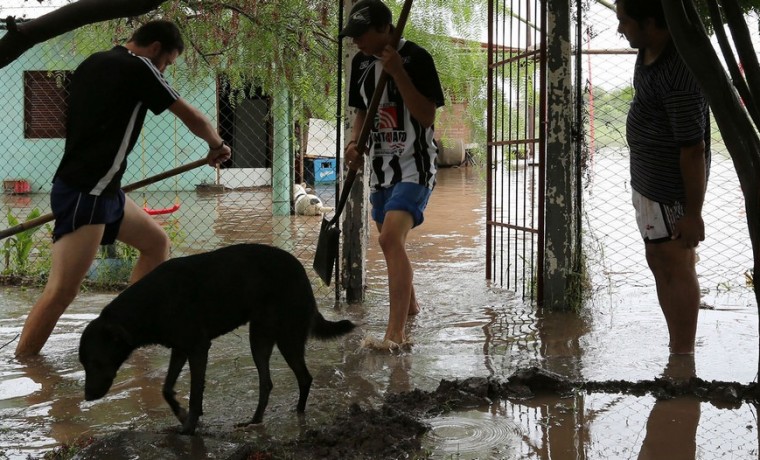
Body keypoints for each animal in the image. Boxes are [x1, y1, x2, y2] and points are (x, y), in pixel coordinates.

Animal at [78, 244, 358, 434]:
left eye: (95, 362)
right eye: (83, 364)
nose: (88, 397)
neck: (150, 304)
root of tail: (303, 276)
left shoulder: (198, 348)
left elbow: (195, 392)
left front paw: (189, 427)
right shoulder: (180, 348)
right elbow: (166, 388)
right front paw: (181, 415)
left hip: (286, 338)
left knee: (303, 377)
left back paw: (297, 414)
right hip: (261, 338)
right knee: (267, 382)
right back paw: (255, 420)